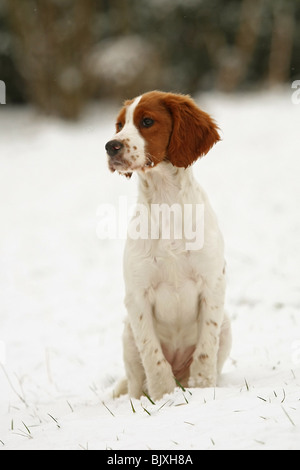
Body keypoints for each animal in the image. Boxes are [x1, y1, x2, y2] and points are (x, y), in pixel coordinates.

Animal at [105, 90, 232, 398]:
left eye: (147, 121)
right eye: (119, 125)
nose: (111, 146)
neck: (166, 203)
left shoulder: (213, 285)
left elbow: (205, 351)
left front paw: (202, 391)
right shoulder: (137, 296)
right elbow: (153, 356)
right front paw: (164, 397)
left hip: (227, 325)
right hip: (127, 334)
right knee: (136, 382)